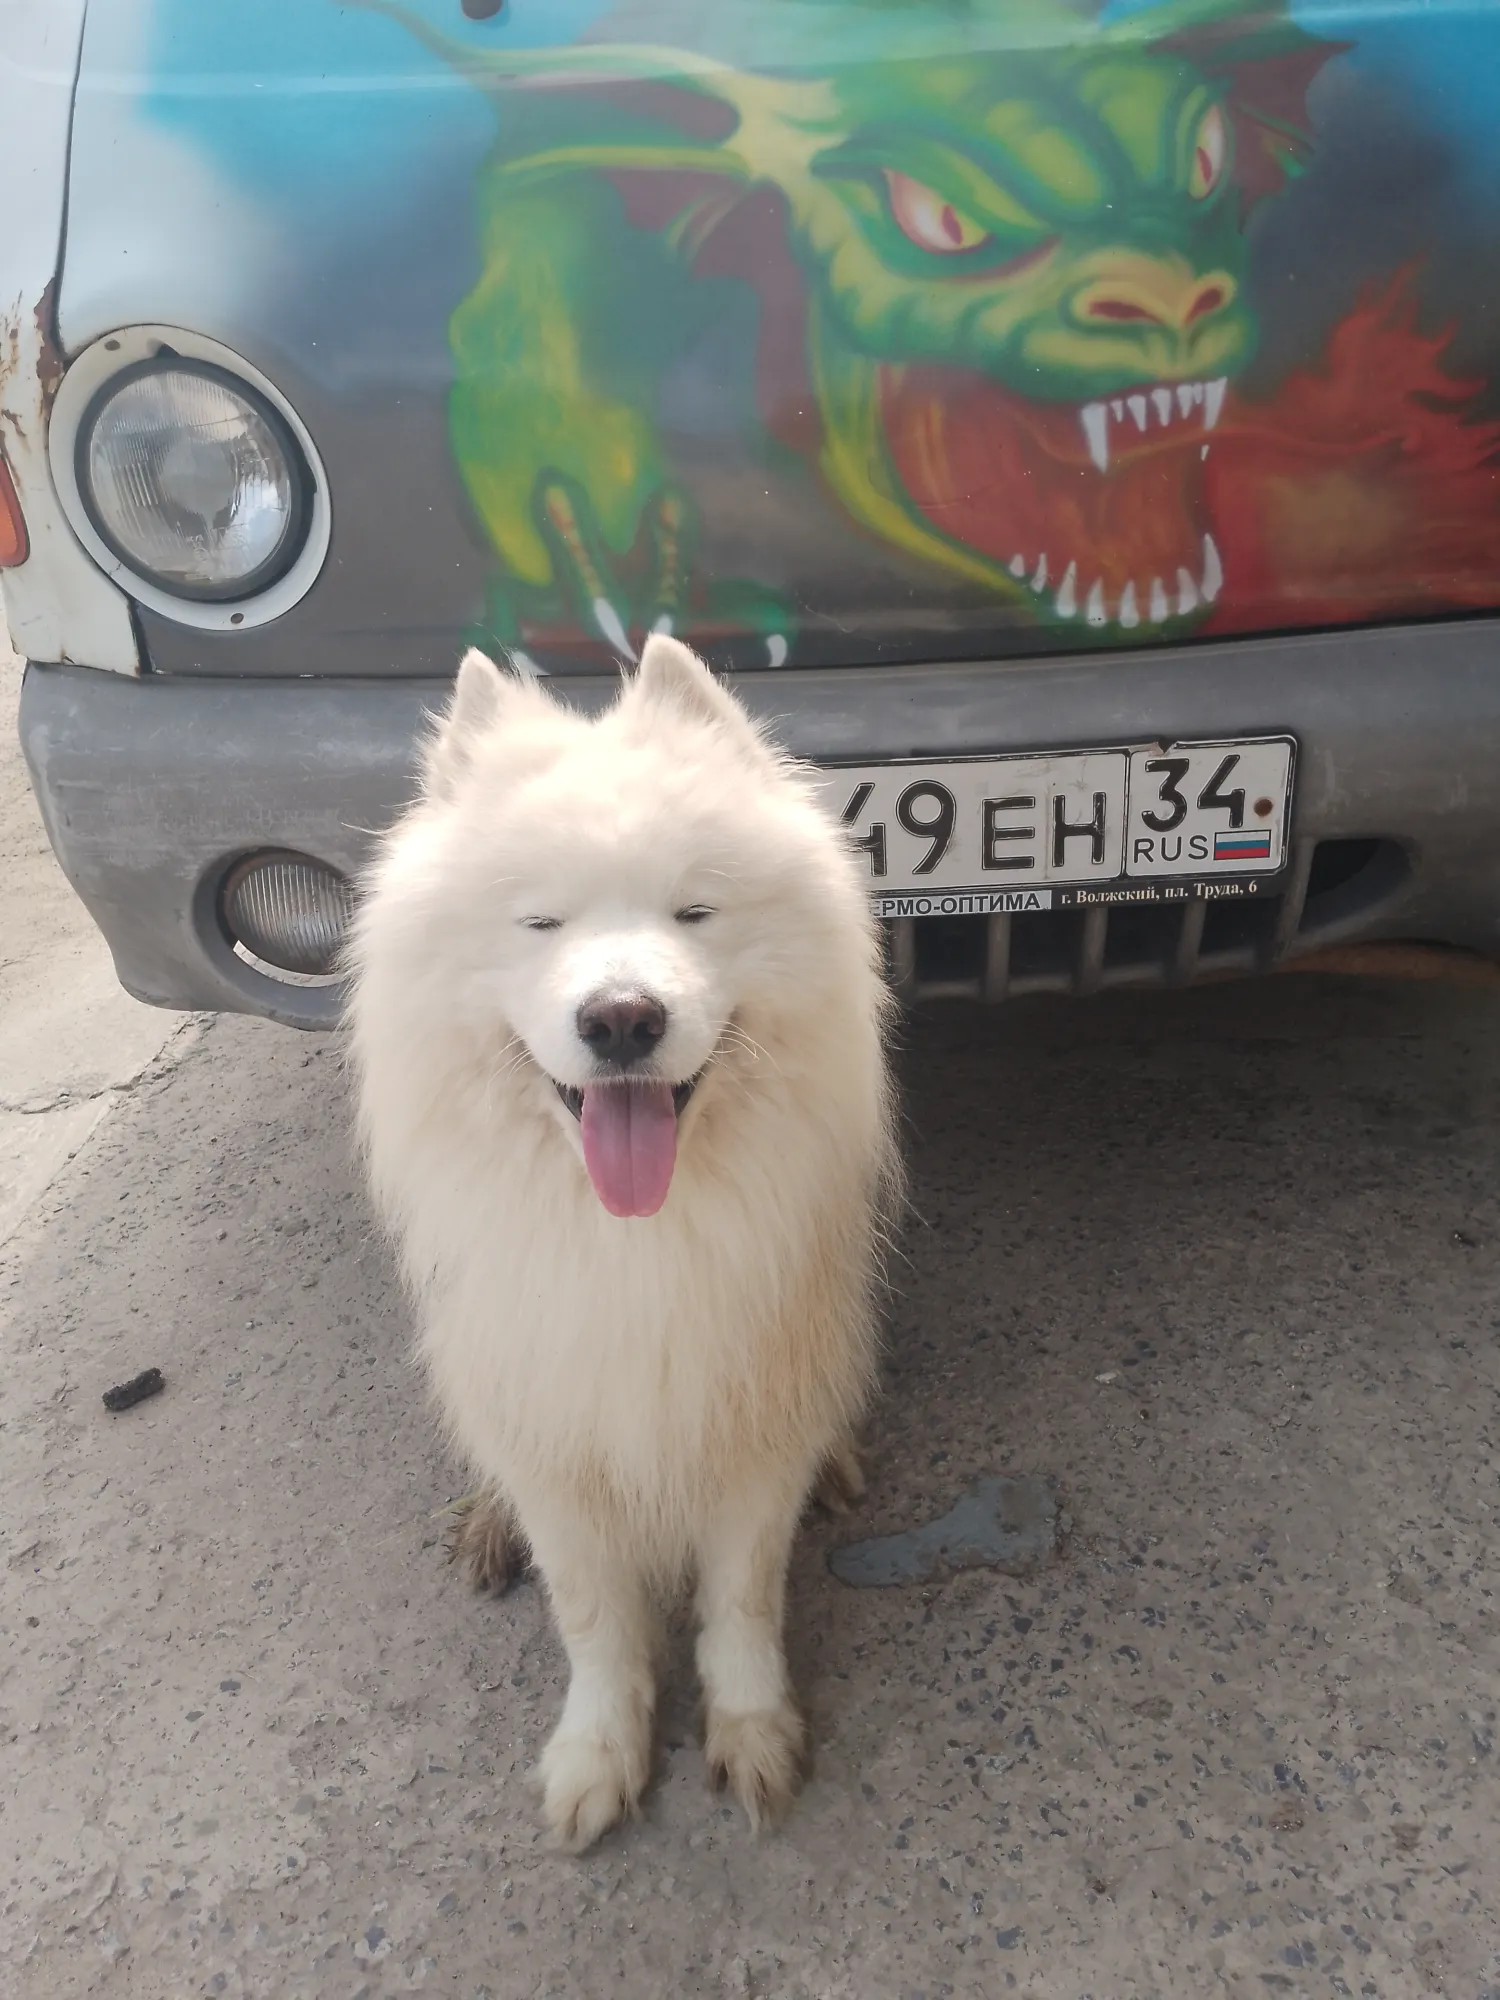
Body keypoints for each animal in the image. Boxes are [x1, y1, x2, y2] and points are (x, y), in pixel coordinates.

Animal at [347, 635, 898, 1849]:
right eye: (539, 923)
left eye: (695, 911)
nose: (622, 1018)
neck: (634, 1241)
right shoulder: (558, 1429)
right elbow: (593, 1615)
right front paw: (598, 1753)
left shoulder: (747, 1417)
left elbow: (743, 1593)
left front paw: (752, 1730)